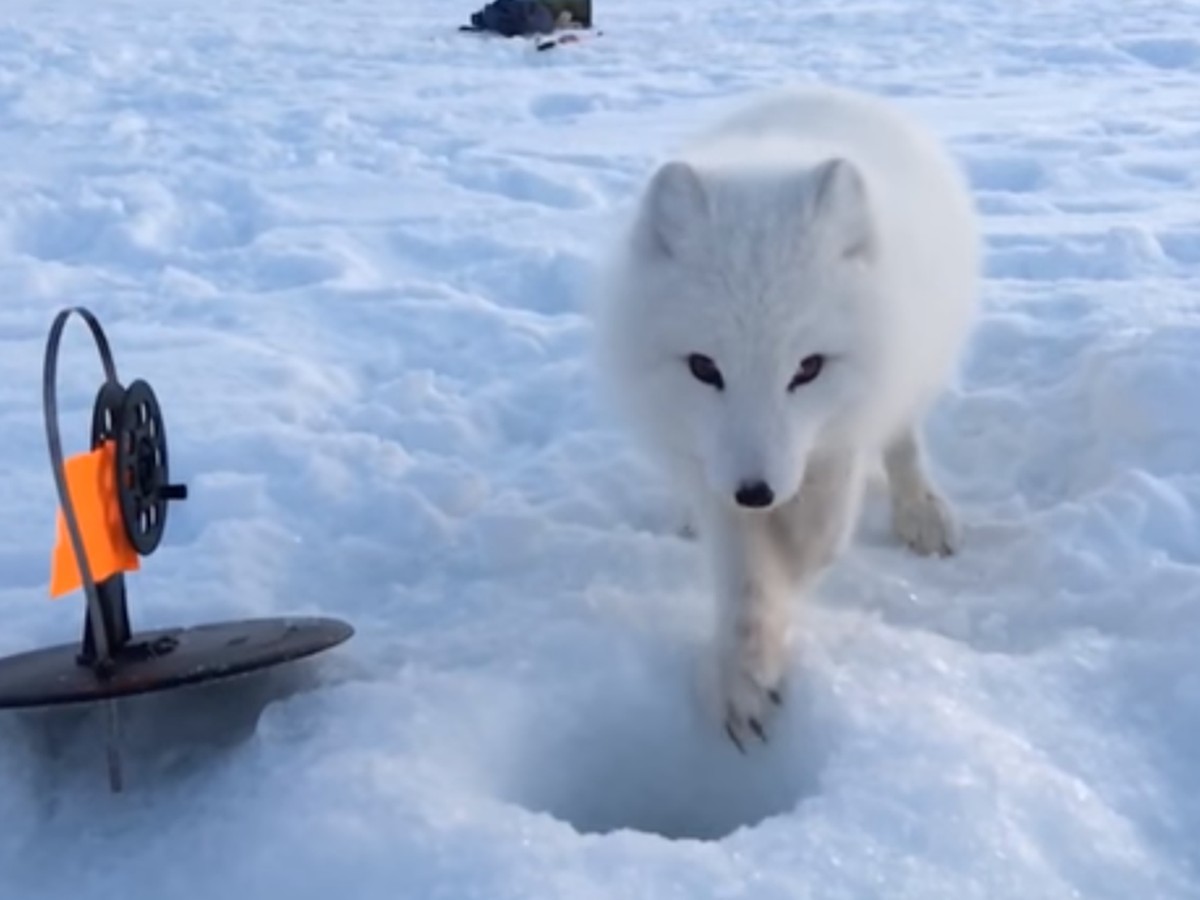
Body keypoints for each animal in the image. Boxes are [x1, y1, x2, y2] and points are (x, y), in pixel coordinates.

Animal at [595, 84, 979, 748]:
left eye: (809, 368)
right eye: (704, 367)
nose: (756, 492)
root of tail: (823, 90)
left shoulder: (843, 432)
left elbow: (818, 536)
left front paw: (792, 567)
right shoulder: (707, 462)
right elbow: (746, 574)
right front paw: (745, 672)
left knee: (903, 442)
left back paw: (920, 511)